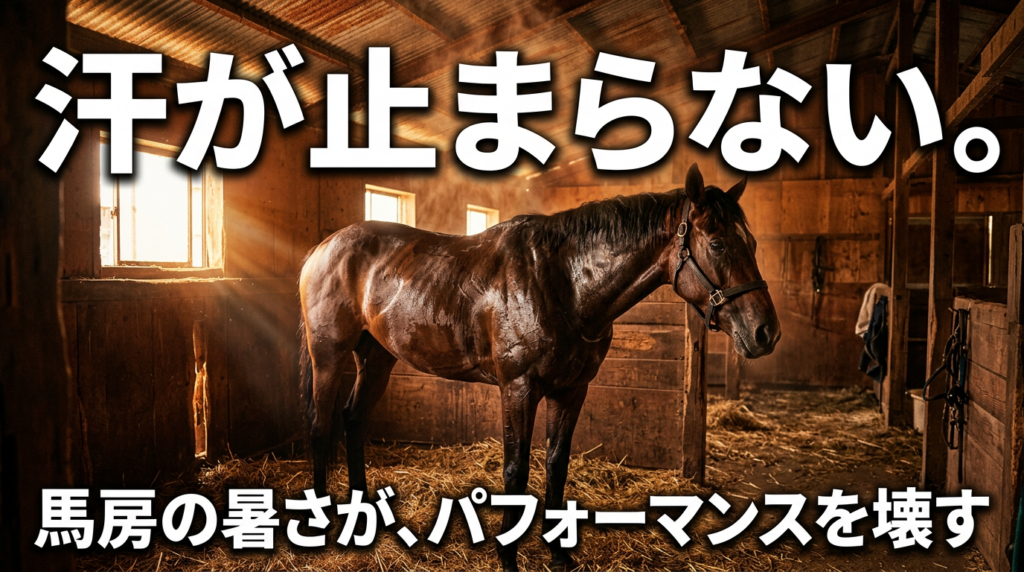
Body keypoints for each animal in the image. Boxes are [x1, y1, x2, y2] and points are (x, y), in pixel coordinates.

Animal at [297, 163, 780, 571]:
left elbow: (555, 464)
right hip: (329, 354)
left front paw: (559, 555)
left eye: (753, 244)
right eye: (716, 244)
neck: (562, 281)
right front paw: (509, 558)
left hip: (376, 357)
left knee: (353, 419)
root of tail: (322, 248)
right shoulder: (518, 388)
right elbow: (516, 471)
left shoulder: (571, 391)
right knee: (320, 425)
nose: (766, 333)